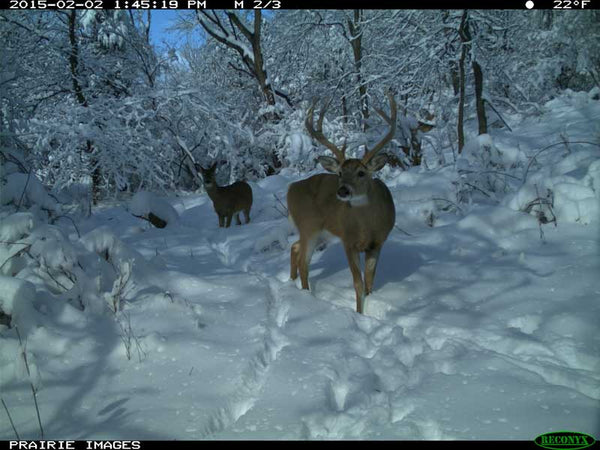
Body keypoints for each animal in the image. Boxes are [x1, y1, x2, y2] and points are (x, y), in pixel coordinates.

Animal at [288, 93, 396, 314]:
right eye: (339, 173)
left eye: (361, 173)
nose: (343, 190)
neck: (367, 227)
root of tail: (290, 189)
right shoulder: (348, 241)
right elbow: (358, 283)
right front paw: (359, 313)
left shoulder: (378, 242)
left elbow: (370, 281)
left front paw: (369, 307)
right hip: (309, 225)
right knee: (304, 261)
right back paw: (306, 296)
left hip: (320, 232)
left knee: (294, 247)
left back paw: (292, 282)